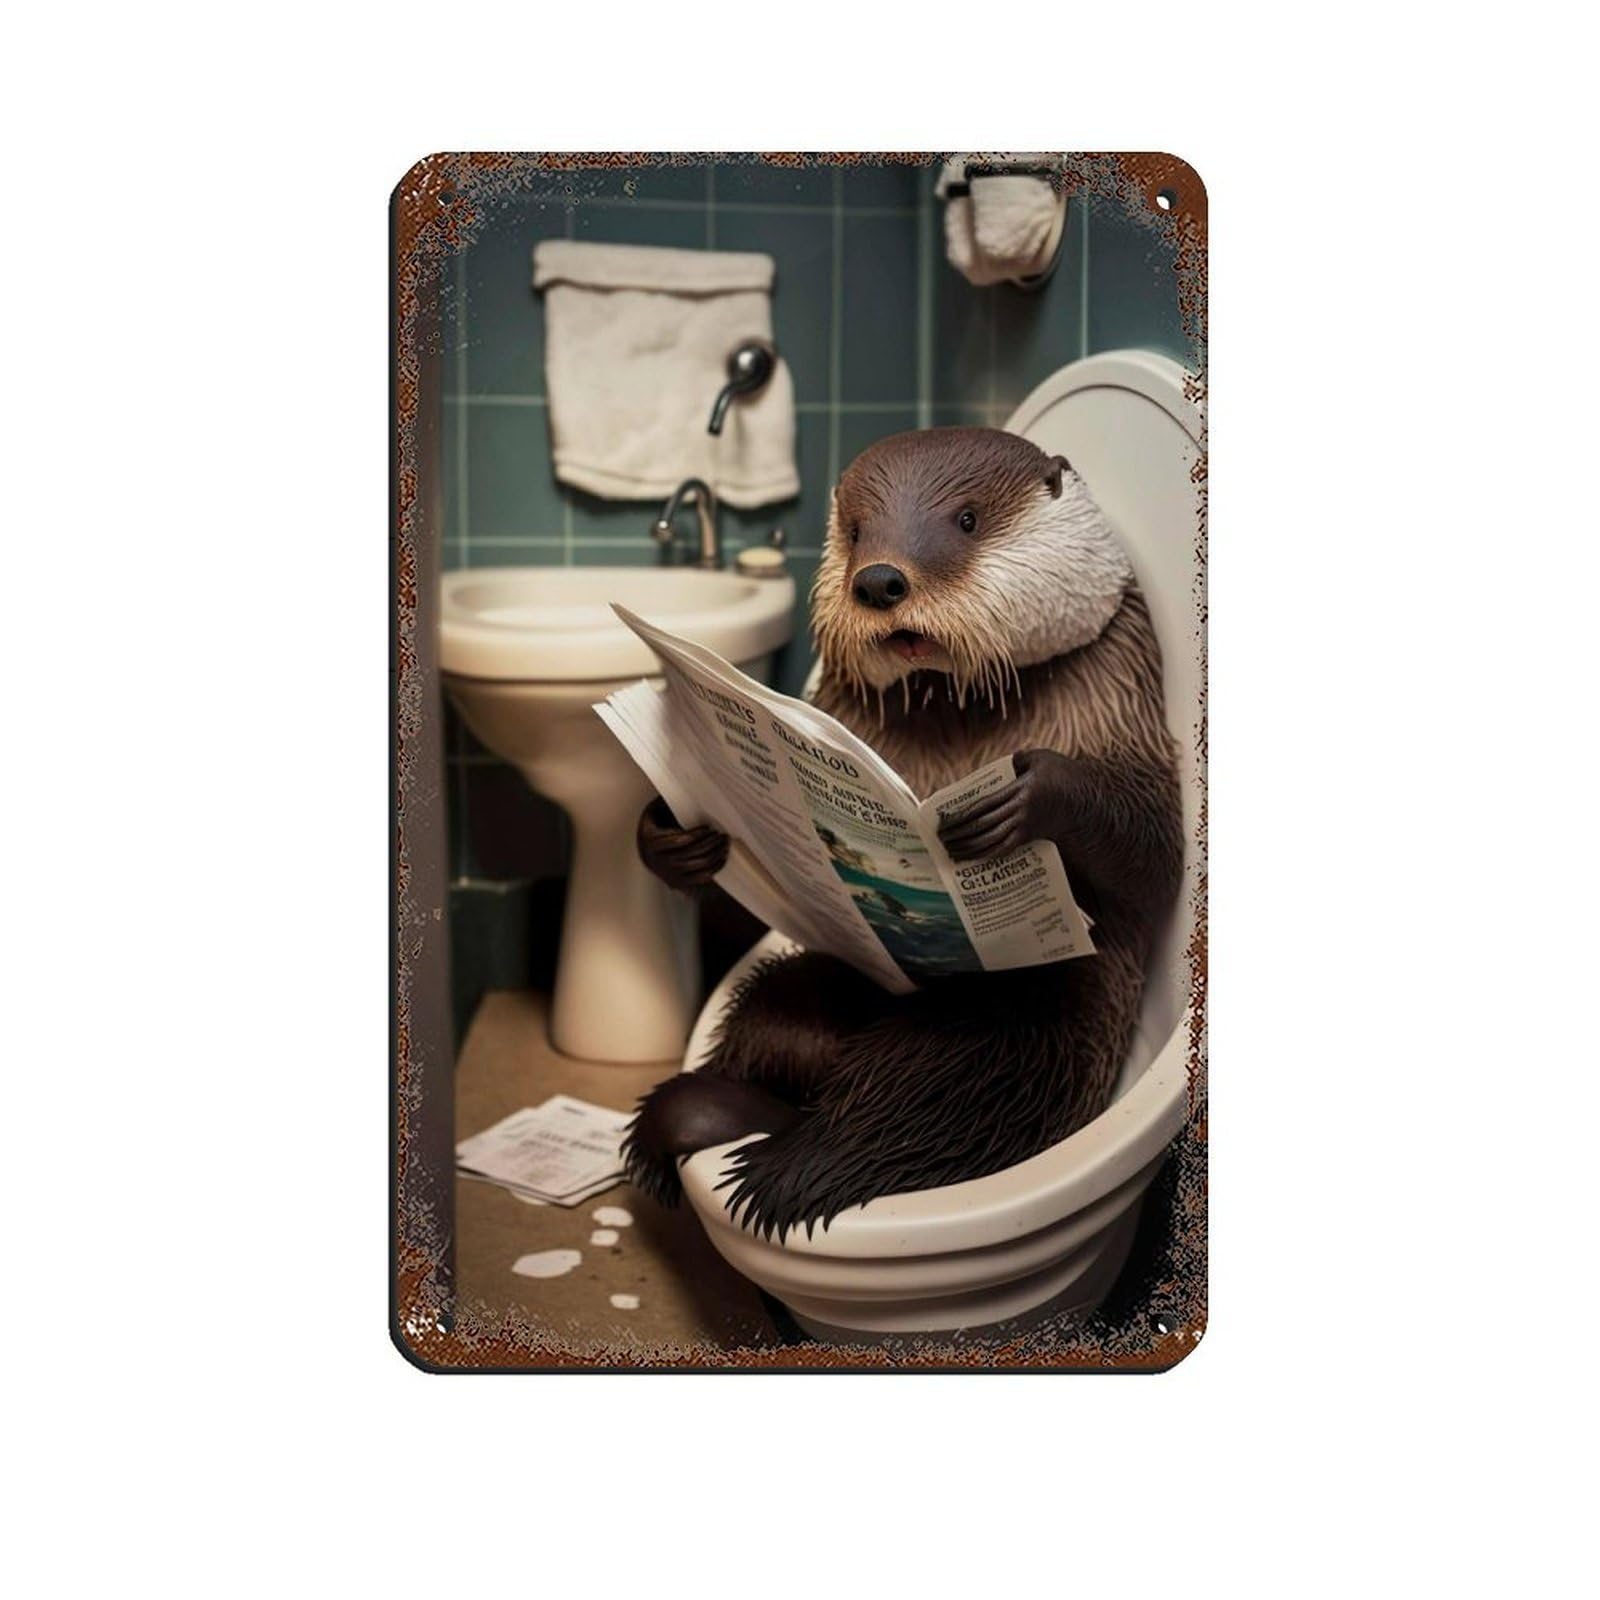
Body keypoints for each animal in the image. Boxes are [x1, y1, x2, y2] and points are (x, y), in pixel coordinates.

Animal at [623, 427, 1183, 1241]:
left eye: (967, 519)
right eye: (858, 530)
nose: (881, 580)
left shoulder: (1119, 681)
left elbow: (1159, 855)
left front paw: (1029, 794)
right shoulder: (833, 706)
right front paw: (668, 834)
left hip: (1018, 1031)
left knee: (921, 1100)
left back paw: (780, 1167)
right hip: (824, 984)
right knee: (773, 1018)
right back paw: (701, 1115)